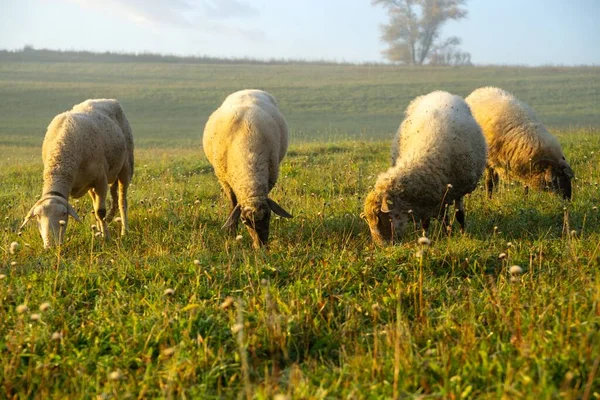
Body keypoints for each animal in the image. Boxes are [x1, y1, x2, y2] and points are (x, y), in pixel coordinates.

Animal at [21, 98, 135, 247]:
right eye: (38, 217)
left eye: (64, 214)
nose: (50, 245)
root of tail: (107, 100)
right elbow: (97, 210)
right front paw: (102, 234)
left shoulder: (101, 180)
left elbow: (101, 212)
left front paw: (107, 238)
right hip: (91, 185)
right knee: (98, 203)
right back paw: (100, 230)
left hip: (126, 166)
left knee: (122, 201)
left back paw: (124, 231)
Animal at [204, 89, 292, 248]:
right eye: (245, 221)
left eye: (268, 216)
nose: (260, 246)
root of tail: (247, 90)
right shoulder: (224, 180)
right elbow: (233, 204)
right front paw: (231, 232)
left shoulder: (270, 177)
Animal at [360, 91, 488, 245]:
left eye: (382, 218)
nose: (382, 246)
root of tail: (439, 93)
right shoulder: (426, 200)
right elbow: (426, 223)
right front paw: (426, 238)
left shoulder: (457, 191)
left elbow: (459, 215)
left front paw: (462, 235)